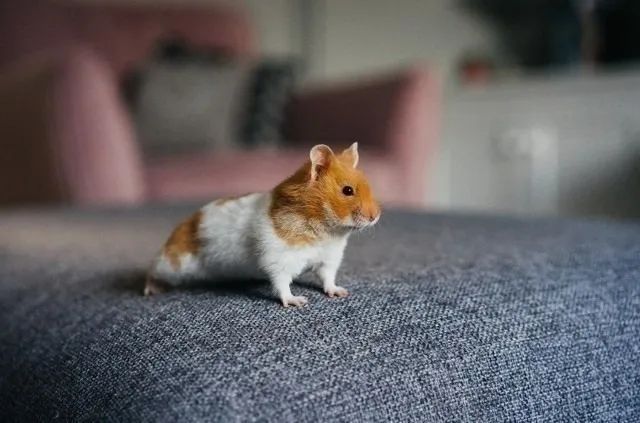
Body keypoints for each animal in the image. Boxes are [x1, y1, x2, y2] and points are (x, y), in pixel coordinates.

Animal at [144, 143, 381, 307]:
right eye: (347, 190)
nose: (376, 216)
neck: (326, 230)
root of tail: (181, 226)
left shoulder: (328, 258)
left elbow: (327, 278)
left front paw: (340, 292)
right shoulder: (278, 259)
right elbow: (282, 284)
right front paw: (297, 302)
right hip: (174, 265)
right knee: (153, 270)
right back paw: (150, 291)